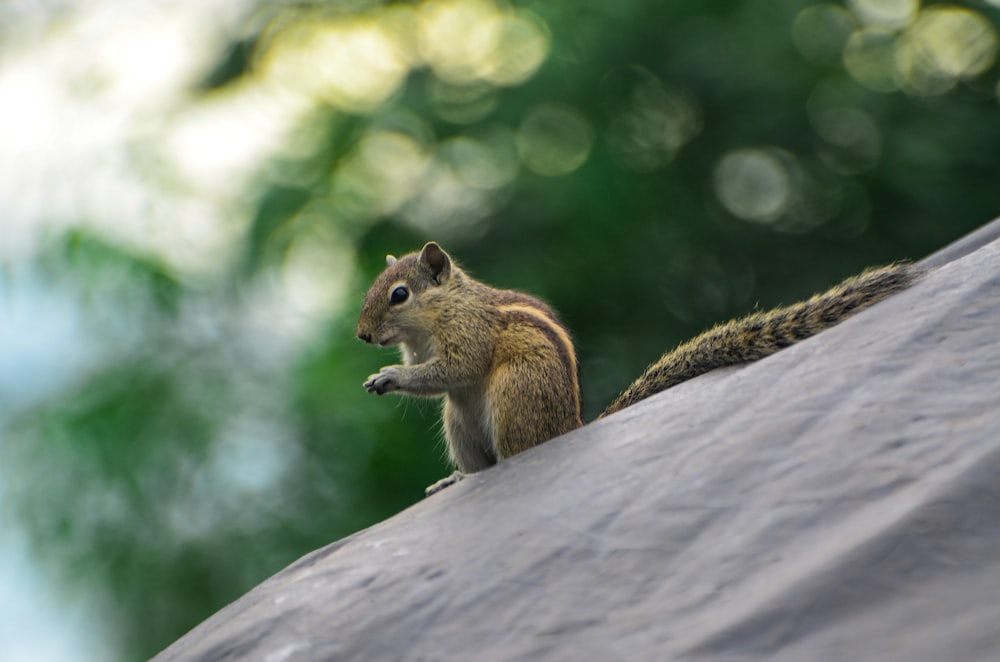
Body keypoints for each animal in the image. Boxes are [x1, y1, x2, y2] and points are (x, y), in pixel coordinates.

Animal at [356, 241, 916, 496]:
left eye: (399, 294)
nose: (362, 335)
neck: (438, 314)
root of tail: (570, 426)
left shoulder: (467, 336)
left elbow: (454, 368)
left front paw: (389, 378)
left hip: (514, 394)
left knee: (515, 456)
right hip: (460, 422)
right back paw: (456, 481)